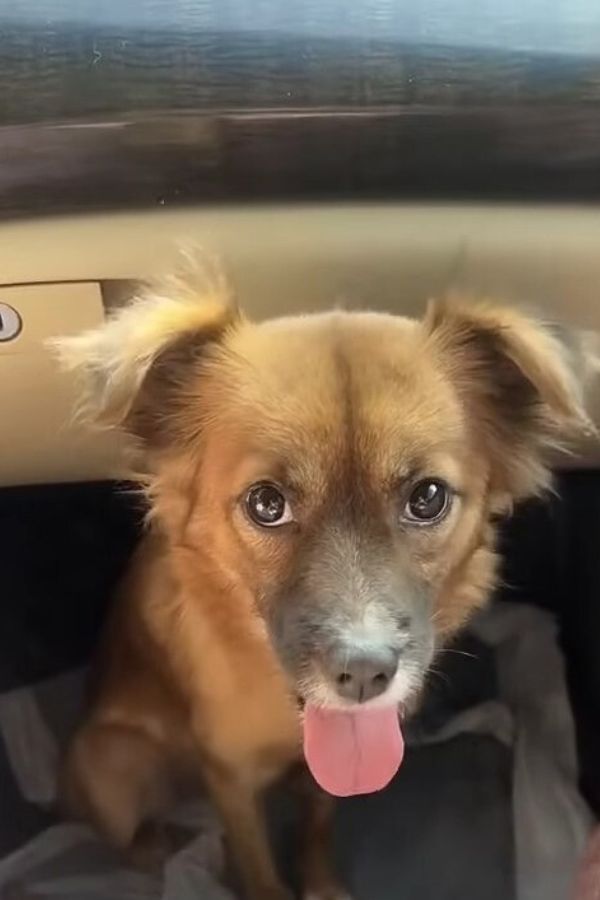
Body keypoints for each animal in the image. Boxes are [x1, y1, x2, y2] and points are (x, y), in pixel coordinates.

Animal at [55, 268, 596, 900]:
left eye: (428, 498)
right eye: (266, 503)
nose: (364, 674)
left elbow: (316, 826)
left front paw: (321, 885)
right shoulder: (230, 779)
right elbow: (258, 864)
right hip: (109, 762)